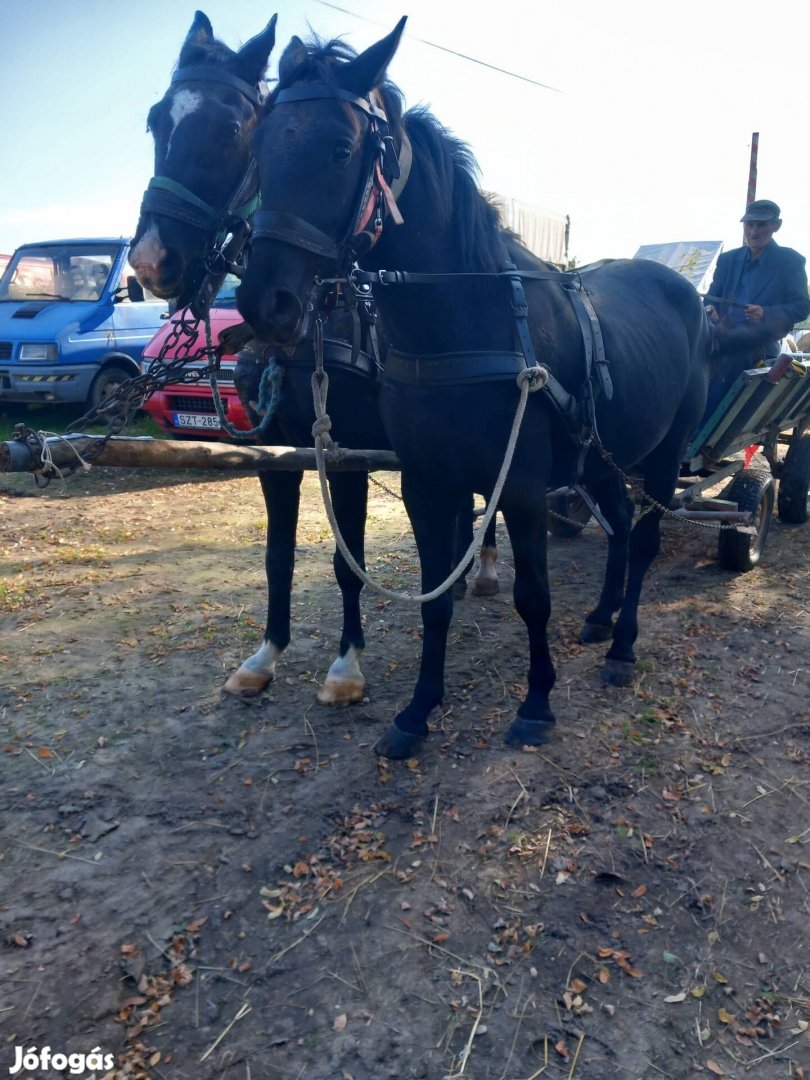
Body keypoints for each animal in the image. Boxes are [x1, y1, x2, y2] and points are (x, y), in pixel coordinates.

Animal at [131, 16, 501, 708]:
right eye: (157, 121)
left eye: (232, 132)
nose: (150, 260)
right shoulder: (275, 447)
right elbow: (277, 557)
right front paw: (264, 655)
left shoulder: (346, 450)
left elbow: (346, 558)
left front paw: (346, 665)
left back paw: (484, 567)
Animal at [236, 19, 717, 760]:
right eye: (257, 146)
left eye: (342, 148)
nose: (268, 302)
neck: (463, 322)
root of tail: (688, 294)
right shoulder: (426, 482)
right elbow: (435, 596)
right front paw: (416, 712)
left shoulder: (519, 483)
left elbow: (533, 596)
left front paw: (537, 704)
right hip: (601, 457)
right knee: (614, 524)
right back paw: (601, 618)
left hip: (664, 457)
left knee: (641, 541)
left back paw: (623, 646)